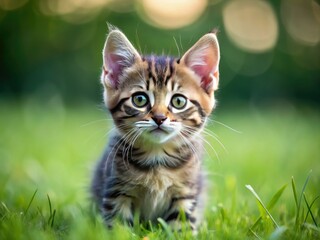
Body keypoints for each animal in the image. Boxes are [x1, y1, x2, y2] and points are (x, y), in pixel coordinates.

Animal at [90, 25, 220, 232]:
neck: (157, 159)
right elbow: (118, 224)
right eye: (140, 99)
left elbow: (181, 226)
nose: (159, 118)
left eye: (178, 101)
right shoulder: (116, 190)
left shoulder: (186, 193)